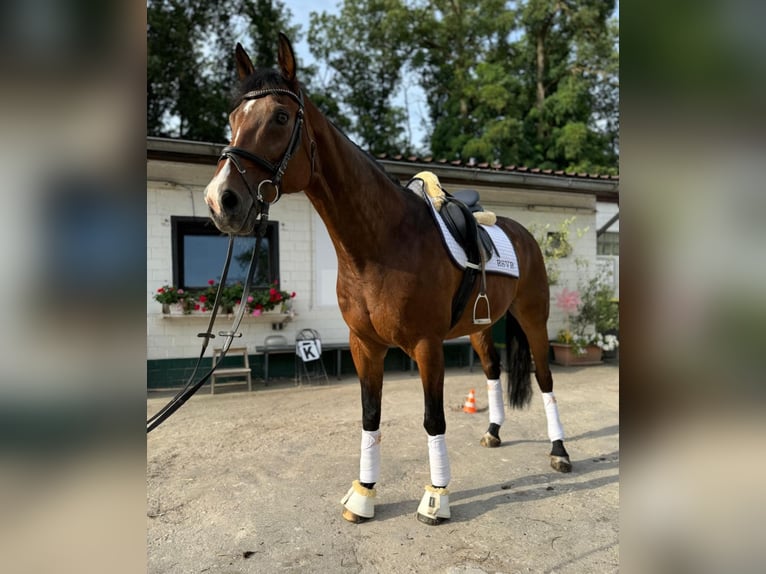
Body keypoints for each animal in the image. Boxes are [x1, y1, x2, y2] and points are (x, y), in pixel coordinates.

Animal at [204, 35, 568, 528]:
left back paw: (559, 451)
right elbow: (370, 416)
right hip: (480, 327)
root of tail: (524, 233)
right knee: (493, 370)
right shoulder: (365, 345)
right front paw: (364, 494)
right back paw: (493, 431)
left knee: (545, 378)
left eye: (280, 116)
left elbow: (433, 419)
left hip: (533, 319)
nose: (220, 200)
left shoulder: (427, 346)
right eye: (233, 119)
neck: (383, 244)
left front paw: (436, 497)